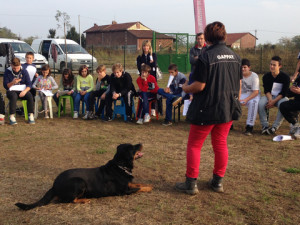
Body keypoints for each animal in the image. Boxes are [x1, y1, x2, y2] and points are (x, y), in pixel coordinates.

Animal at [15, 143, 152, 210]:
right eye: (132, 147)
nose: (140, 143)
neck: (120, 166)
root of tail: (54, 185)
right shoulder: (124, 191)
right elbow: (138, 188)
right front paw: (149, 188)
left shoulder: (128, 184)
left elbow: (138, 184)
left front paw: (148, 184)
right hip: (79, 182)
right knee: (66, 200)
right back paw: (84, 200)